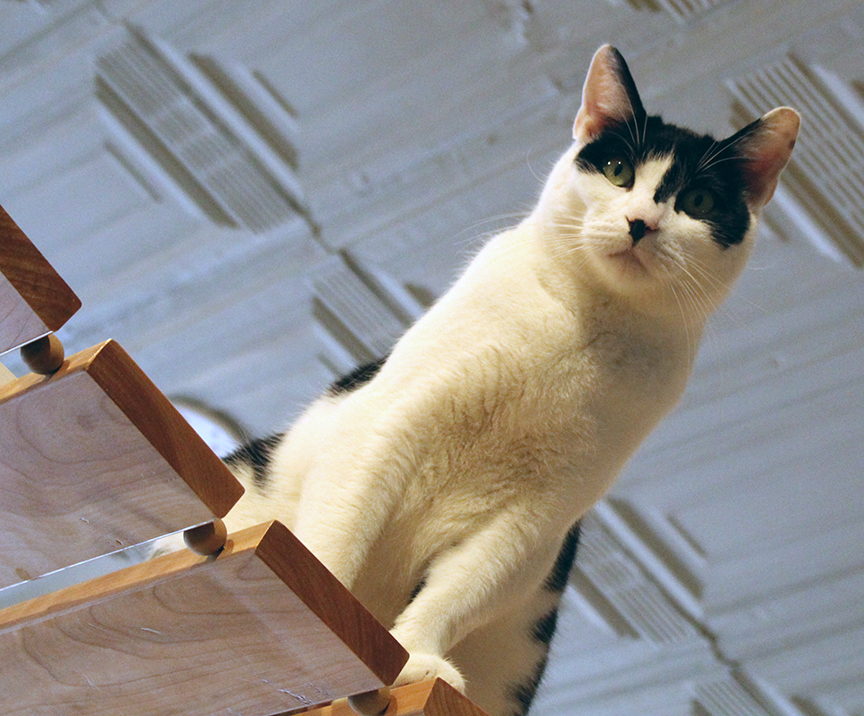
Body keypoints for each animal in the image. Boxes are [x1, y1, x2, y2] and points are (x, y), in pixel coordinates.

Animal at [219, 44, 800, 716]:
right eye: (619, 170)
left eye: (698, 203)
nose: (640, 222)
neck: (581, 326)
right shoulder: (386, 427)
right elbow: (334, 540)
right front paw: (326, 614)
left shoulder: (536, 522)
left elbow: (457, 593)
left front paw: (414, 660)